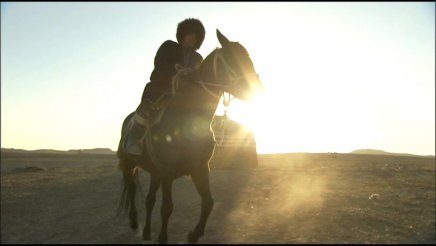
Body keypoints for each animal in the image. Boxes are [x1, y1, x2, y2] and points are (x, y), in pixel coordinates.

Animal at [116, 29, 262, 243]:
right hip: (129, 165)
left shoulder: (200, 169)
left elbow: (209, 202)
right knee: (133, 190)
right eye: (233, 59)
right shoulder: (168, 173)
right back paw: (135, 223)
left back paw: (147, 231)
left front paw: (194, 234)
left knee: (150, 199)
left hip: (154, 172)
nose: (257, 88)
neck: (187, 121)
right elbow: (167, 208)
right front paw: (163, 238)